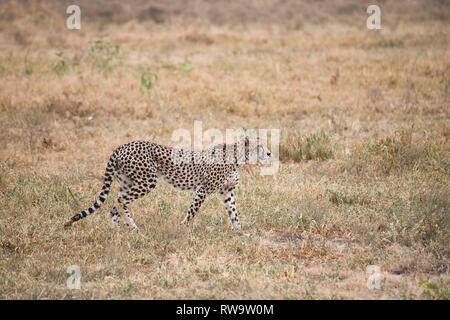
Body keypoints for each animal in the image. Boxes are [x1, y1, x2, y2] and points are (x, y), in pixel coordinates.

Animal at [63, 136, 270, 231]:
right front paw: (183, 227)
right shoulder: (203, 189)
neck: (238, 157)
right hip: (147, 181)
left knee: (115, 205)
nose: (269, 153)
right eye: (260, 146)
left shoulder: (226, 191)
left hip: (128, 182)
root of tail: (123, 146)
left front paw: (239, 231)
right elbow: (192, 210)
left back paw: (119, 230)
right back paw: (133, 227)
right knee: (119, 202)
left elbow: (233, 212)